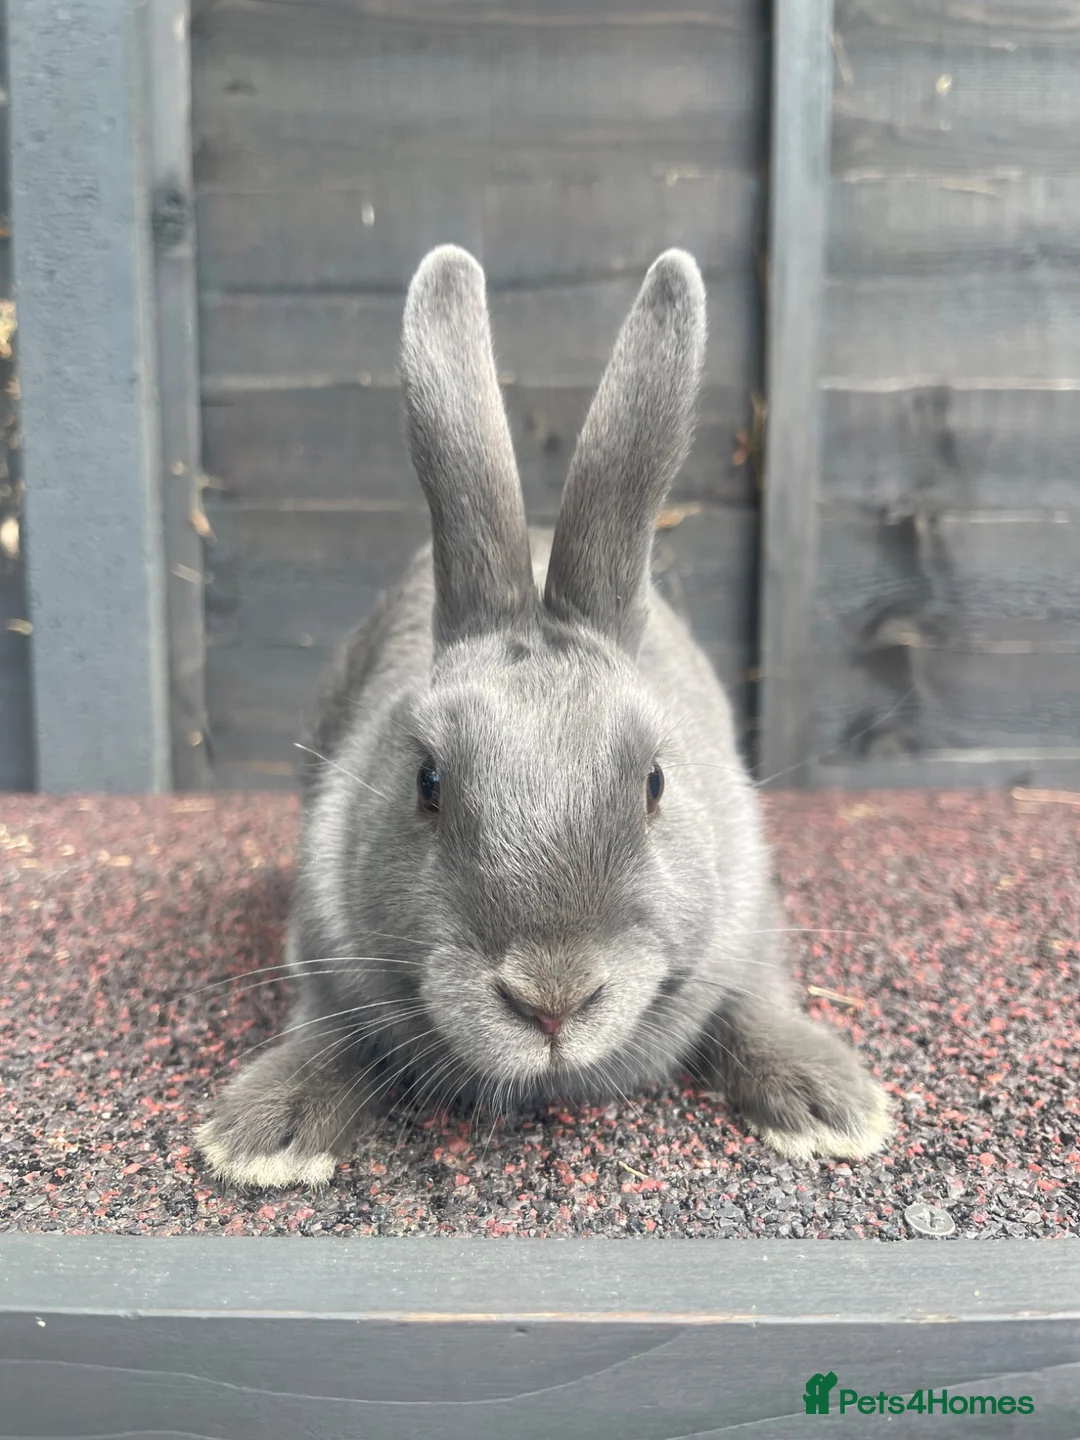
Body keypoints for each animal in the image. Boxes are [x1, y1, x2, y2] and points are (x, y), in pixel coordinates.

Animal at [195, 245, 893, 1189]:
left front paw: (829, 1105)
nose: (552, 1000)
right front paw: (267, 1131)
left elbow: (753, 1001)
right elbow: (331, 1027)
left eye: (656, 783)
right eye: (427, 783)